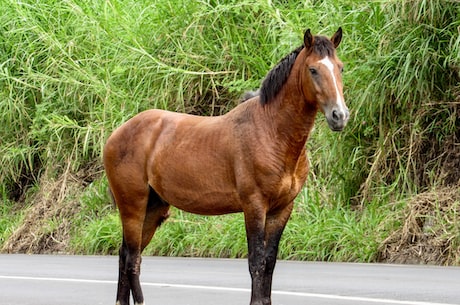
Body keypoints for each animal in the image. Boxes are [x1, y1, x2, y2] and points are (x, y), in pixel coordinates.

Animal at [103, 26, 348, 304]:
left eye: (340, 68)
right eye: (313, 69)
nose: (339, 116)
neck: (271, 131)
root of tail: (116, 134)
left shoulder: (282, 209)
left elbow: (269, 263)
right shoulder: (254, 206)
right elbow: (256, 262)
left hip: (153, 208)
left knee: (125, 254)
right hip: (133, 207)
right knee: (132, 258)